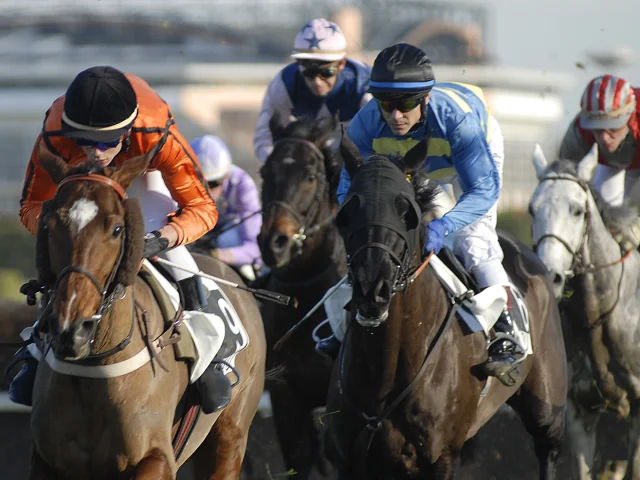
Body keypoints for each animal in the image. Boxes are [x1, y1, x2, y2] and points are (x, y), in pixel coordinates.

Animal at [27, 148, 266, 478]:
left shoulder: (157, 457)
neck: (95, 363)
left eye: (117, 229)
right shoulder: (47, 460)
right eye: (48, 226)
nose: (71, 331)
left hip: (230, 437)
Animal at [328, 135, 568, 480]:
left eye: (407, 213)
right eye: (346, 213)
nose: (372, 287)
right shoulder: (351, 460)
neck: (385, 372)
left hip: (548, 405)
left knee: (547, 446)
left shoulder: (441, 457)